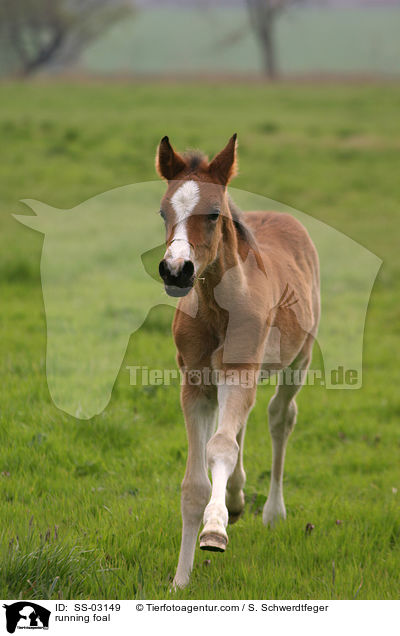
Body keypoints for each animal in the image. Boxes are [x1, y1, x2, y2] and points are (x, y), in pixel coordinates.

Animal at [155, 134, 318, 588]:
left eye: (213, 214)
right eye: (163, 212)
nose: (175, 271)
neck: (217, 307)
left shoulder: (239, 373)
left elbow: (222, 445)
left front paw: (215, 530)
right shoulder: (196, 384)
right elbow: (194, 483)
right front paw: (180, 580)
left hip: (298, 360)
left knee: (280, 417)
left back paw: (272, 512)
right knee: (243, 424)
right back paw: (236, 498)